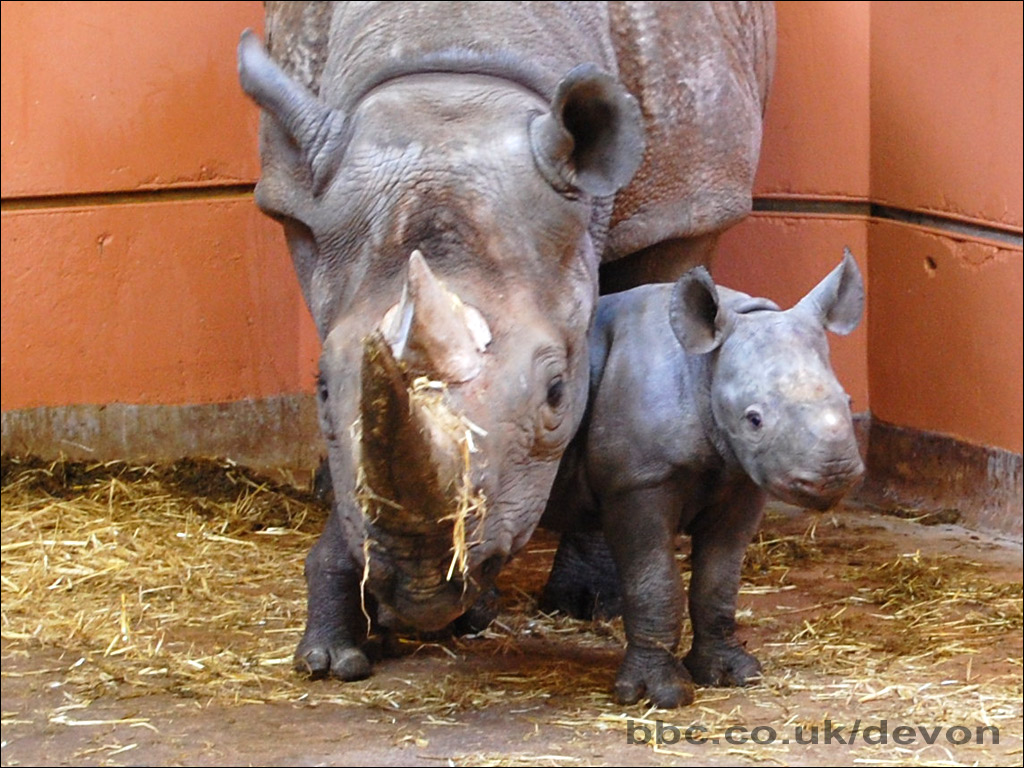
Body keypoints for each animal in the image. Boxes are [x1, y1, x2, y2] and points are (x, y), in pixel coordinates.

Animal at [238, 1, 775, 681]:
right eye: (320, 389)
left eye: (556, 393)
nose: (420, 583)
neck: (459, 66)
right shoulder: (305, 203)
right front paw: (345, 640)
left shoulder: (681, 205)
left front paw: (590, 597)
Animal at [541, 251, 866, 707]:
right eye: (754, 420)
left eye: (849, 401)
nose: (834, 476)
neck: (705, 369)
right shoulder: (640, 480)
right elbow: (655, 581)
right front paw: (660, 694)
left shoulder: (740, 478)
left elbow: (718, 581)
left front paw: (732, 674)